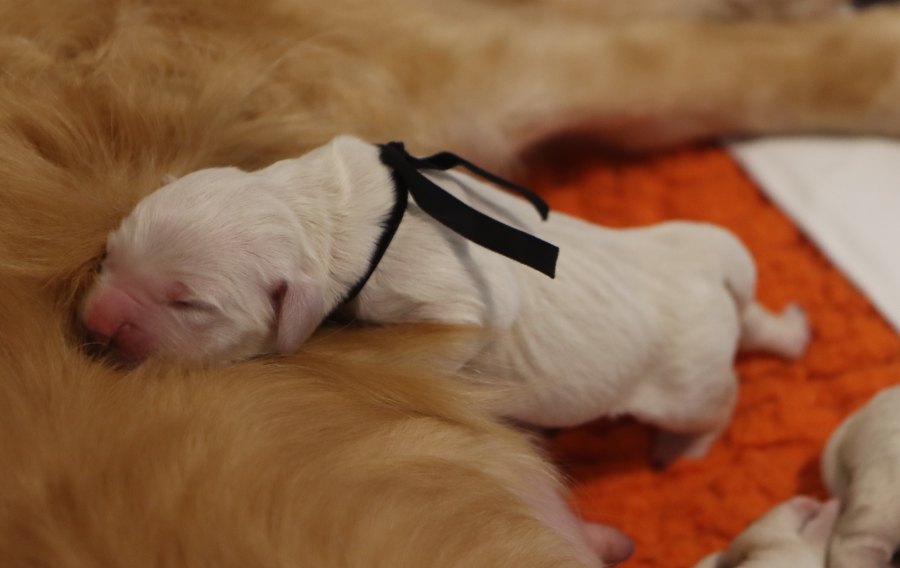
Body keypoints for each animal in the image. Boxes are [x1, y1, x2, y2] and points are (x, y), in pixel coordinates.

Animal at [80, 134, 809, 465]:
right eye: (108, 255)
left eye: (189, 303)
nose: (93, 320)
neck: (328, 209)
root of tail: (708, 267)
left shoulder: (456, 301)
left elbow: (437, 344)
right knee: (756, 327)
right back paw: (791, 330)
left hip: (687, 382)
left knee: (722, 399)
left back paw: (681, 450)